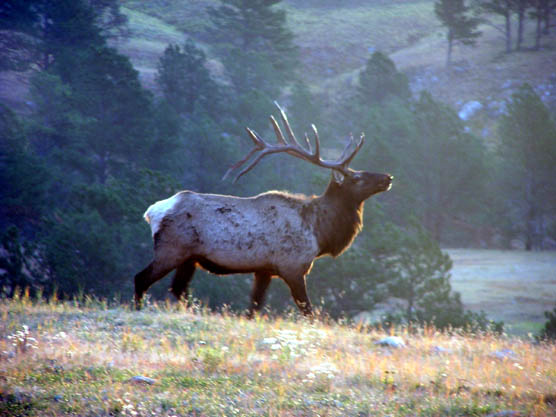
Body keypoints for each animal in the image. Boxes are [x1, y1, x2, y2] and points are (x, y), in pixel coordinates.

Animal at [132, 103, 394, 316]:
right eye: (357, 178)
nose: (388, 177)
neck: (320, 232)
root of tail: (152, 212)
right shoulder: (293, 266)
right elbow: (308, 310)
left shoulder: (264, 270)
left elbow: (254, 307)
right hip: (172, 249)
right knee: (141, 279)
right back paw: (138, 309)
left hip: (190, 258)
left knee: (177, 289)